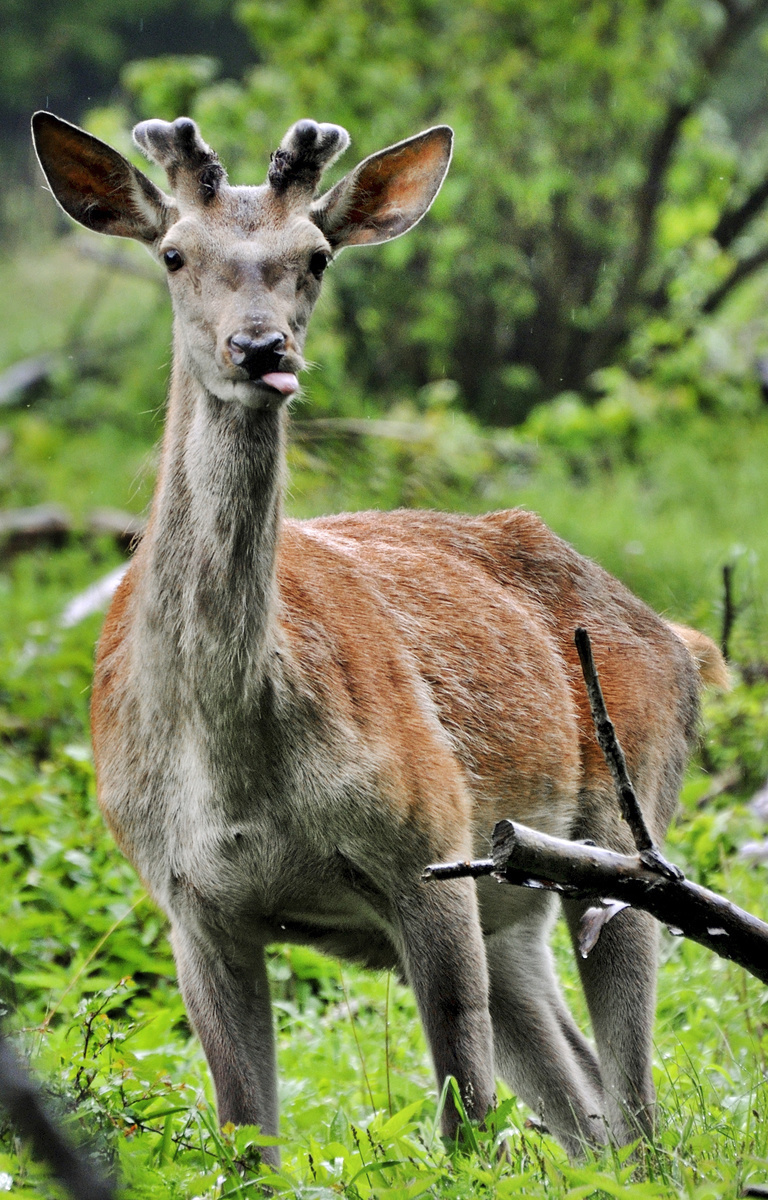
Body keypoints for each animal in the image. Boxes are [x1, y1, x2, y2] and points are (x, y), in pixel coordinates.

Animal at [31, 110, 724, 1161]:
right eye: (174, 253)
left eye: (315, 258)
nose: (260, 347)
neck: (231, 760)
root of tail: (684, 638)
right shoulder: (186, 895)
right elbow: (247, 1136)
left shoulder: (426, 841)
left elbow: (467, 1118)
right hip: (513, 904)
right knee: (589, 1106)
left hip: (625, 821)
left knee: (638, 1110)